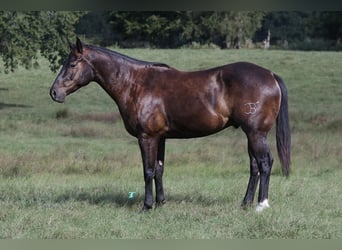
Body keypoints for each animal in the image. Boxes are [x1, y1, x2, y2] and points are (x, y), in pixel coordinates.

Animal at [50, 37, 292, 212]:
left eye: (72, 63)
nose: (54, 92)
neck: (135, 84)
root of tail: (270, 75)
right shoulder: (161, 137)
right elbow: (159, 169)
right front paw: (160, 203)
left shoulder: (147, 137)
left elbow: (148, 170)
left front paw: (147, 206)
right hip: (251, 134)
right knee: (254, 166)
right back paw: (245, 203)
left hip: (256, 133)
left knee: (265, 163)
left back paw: (261, 205)